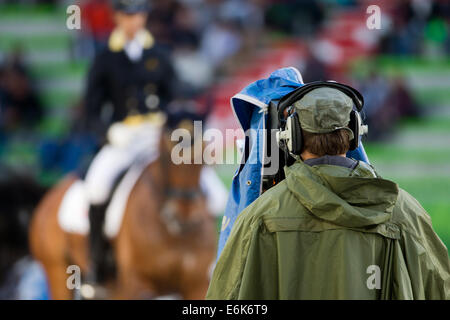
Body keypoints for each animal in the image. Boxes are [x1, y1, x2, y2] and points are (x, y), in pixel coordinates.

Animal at [29, 116, 217, 298]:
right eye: (167, 156)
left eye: (204, 160)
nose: (185, 216)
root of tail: (50, 195)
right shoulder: (138, 283)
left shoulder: (197, 285)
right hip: (58, 272)